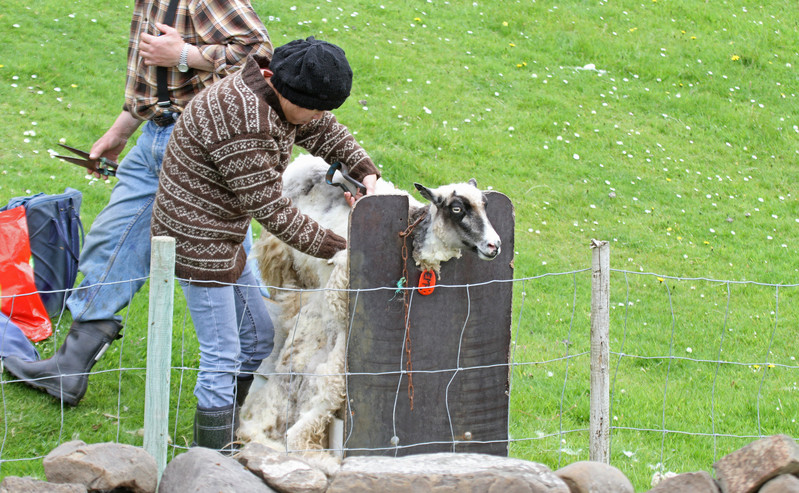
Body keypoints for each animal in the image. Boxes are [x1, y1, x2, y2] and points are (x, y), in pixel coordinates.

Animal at [238, 156, 500, 470]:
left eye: (486, 205)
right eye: (457, 208)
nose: (494, 246)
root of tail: (305, 160)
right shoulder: (341, 310)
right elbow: (331, 384)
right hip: (281, 257)